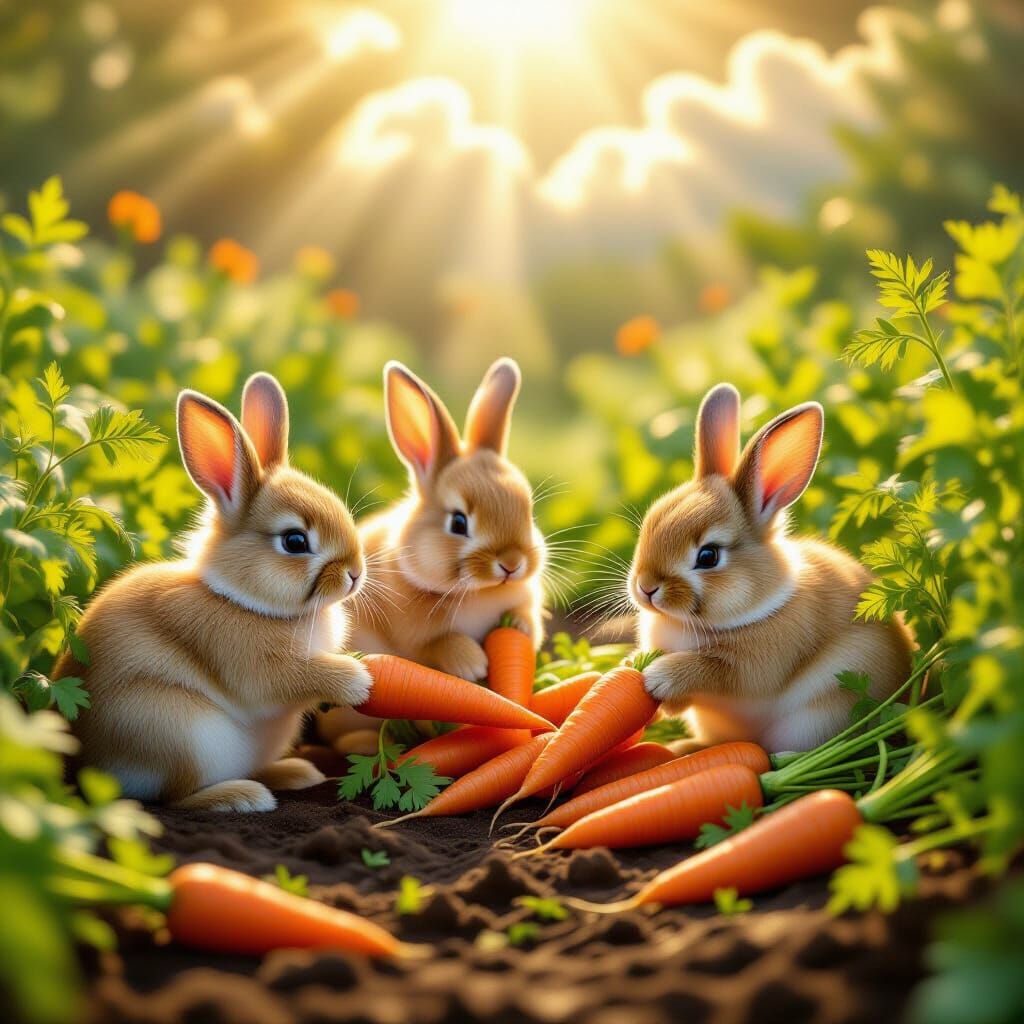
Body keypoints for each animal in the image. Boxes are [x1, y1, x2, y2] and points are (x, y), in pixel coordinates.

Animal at [56, 372, 372, 812]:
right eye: (294, 541)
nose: (355, 574)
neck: (242, 600)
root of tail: (86, 768)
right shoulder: (253, 664)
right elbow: (295, 677)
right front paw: (358, 680)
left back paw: (294, 773)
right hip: (178, 732)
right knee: (175, 798)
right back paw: (244, 797)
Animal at [350, 358, 546, 682]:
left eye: (528, 513)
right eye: (458, 523)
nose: (512, 563)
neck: (478, 592)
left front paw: (520, 628)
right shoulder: (416, 639)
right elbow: (441, 643)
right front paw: (474, 664)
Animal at [629, 383, 914, 753]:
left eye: (708, 556)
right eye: (648, 525)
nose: (646, 587)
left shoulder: (752, 665)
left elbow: (710, 669)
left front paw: (656, 677)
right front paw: (632, 666)